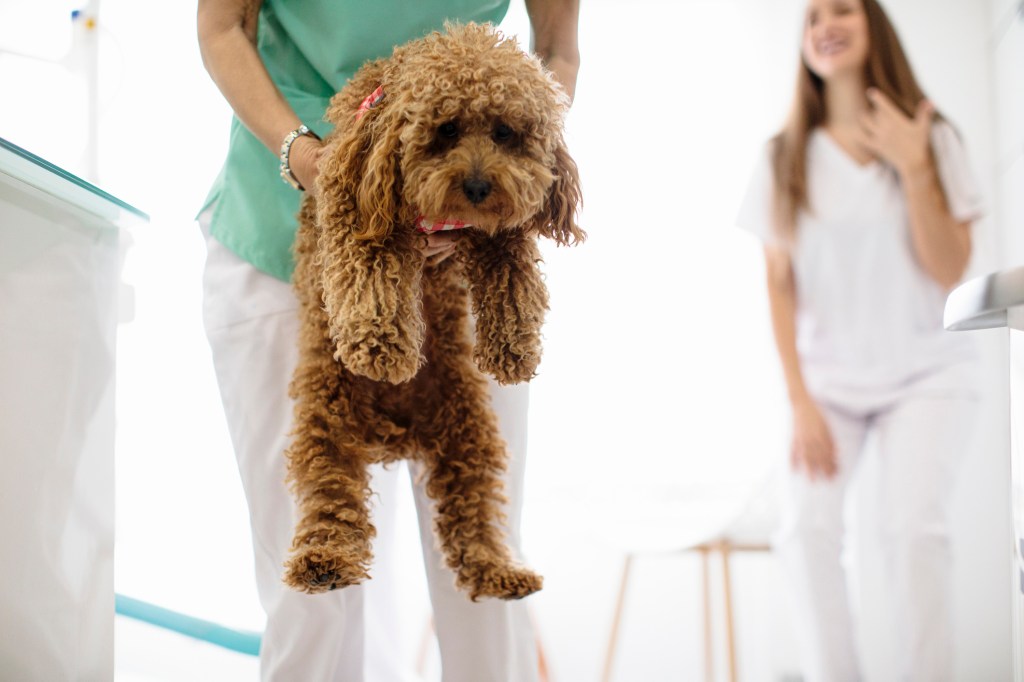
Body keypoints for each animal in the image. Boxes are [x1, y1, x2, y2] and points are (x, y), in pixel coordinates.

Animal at [280, 21, 585, 598]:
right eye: (446, 130)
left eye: (505, 133)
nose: (478, 185)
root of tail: (395, 435)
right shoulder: (357, 203)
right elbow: (372, 270)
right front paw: (381, 349)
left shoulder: (497, 230)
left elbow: (513, 270)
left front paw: (514, 349)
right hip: (325, 418)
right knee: (330, 493)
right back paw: (323, 562)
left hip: (471, 431)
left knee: (473, 514)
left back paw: (498, 570)